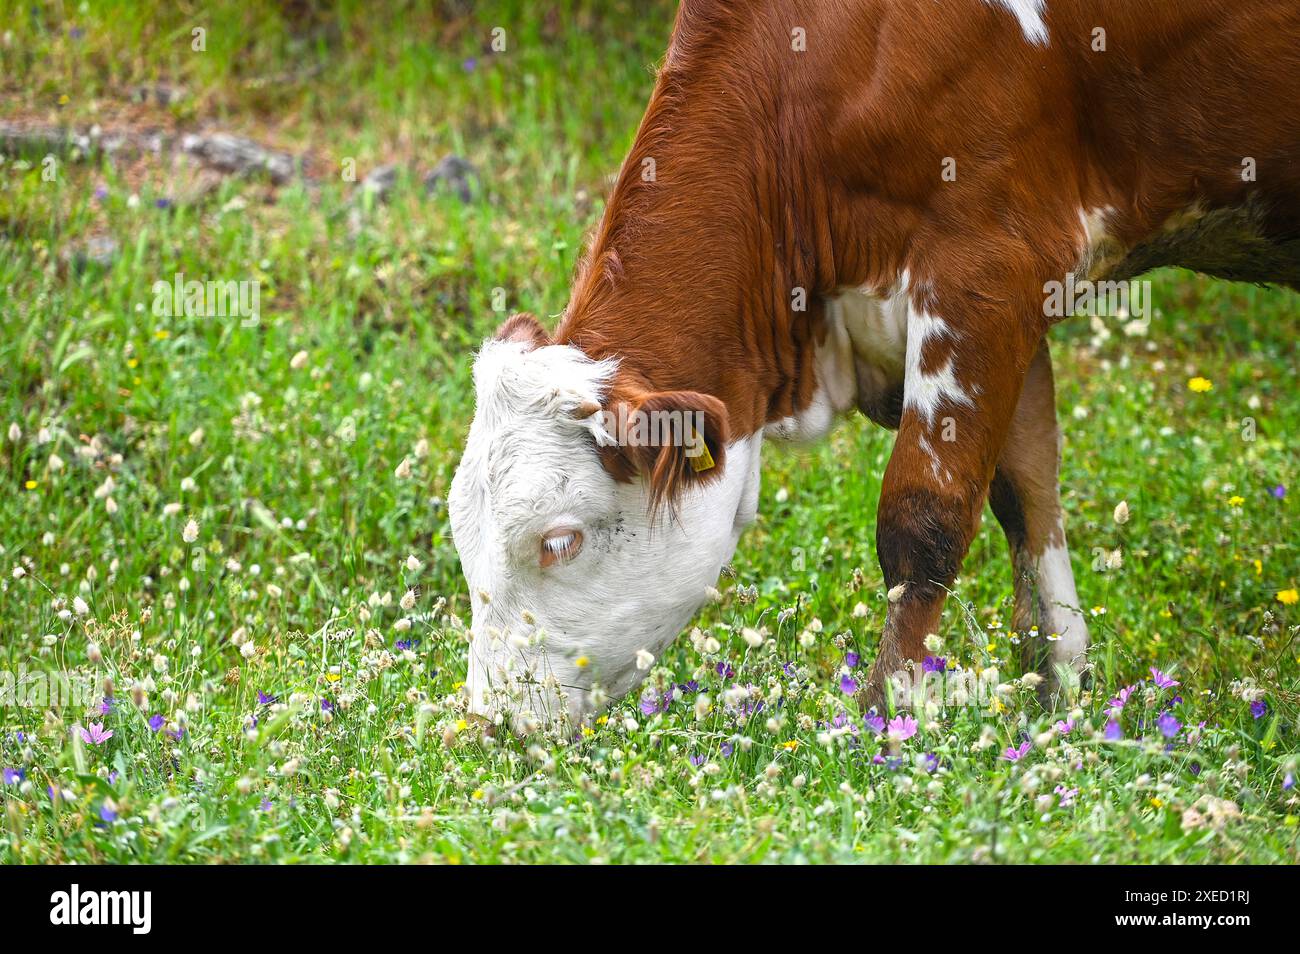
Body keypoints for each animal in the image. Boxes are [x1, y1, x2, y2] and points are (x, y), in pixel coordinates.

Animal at [447, 0, 1300, 722]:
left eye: (559, 541)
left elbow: (923, 517)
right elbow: (1025, 494)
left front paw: (886, 713)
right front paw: (1052, 693)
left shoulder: (986, 266)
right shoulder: (1016, 295)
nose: (490, 722)